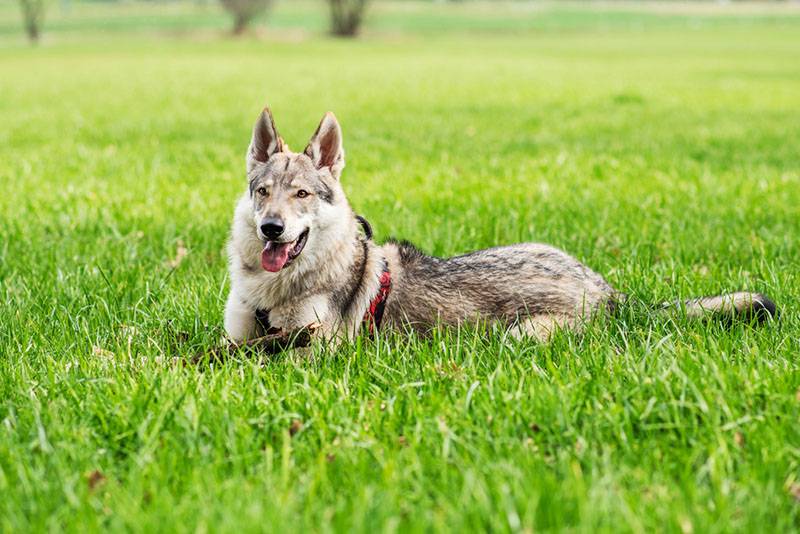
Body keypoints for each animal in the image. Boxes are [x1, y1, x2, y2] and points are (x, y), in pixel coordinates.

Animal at [222, 109, 780, 348]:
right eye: (263, 192)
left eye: (302, 195)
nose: (271, 229)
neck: (275, 288)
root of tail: (609, 290)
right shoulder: (242, 330)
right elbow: (227, 347)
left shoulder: (317, 348)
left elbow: (242, 356)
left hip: (519, 336)